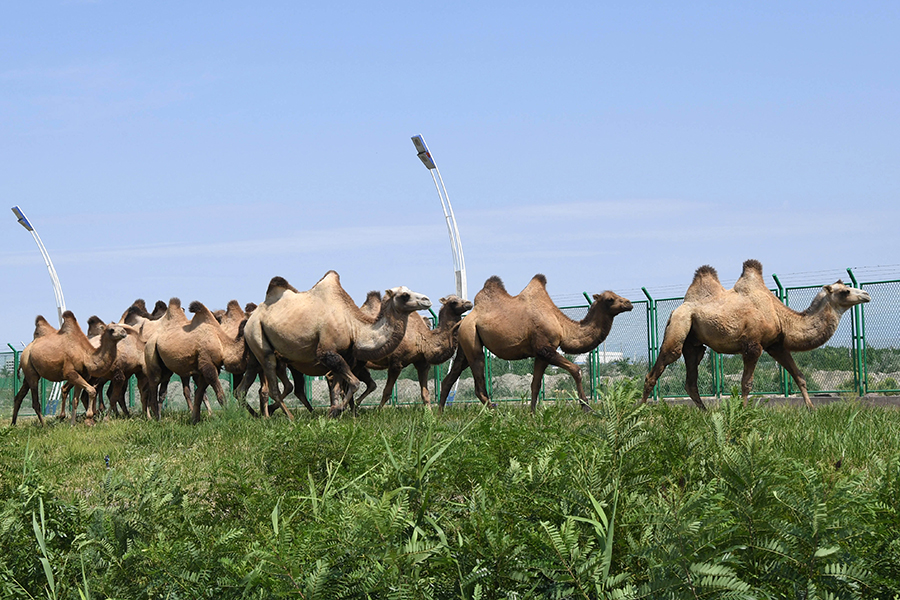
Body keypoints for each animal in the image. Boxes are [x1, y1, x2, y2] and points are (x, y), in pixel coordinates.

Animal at [243, 272, 432, 418]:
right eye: (404, 295)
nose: (427, 299)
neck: (353, 326)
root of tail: (251, 317)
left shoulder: (344, 356)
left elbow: (336, 389)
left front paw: (333, 413)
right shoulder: (326, 352)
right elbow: (354, 383)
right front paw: (338, 410)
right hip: (257, 337)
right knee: (272, 383)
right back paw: (287, 418)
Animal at [436, 276, 632, 412]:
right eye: (610, 299)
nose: (629, 303)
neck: (562, 326)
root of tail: (464, 321)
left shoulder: (541, 355)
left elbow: (535, 384)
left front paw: (532, 413)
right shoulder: (545, 348)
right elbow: (576, 370)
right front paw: (586, 407)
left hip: (464, 346)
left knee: (449, 378)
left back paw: (440, 414)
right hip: (472, 340)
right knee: (478, 383)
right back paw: (494, 409)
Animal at [636, 260, 876, 410]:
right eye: (844, 291)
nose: (866, 294)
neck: (780, 315)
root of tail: (677, 309)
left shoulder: (776, 345)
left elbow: (799, 376)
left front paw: (811, 409)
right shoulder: (752, 346)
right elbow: (746, 383)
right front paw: (742, 413)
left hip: (694, 344)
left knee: (691, 381)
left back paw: (706, 413)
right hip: (679, 327)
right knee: (657, 369)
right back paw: (641, 412)